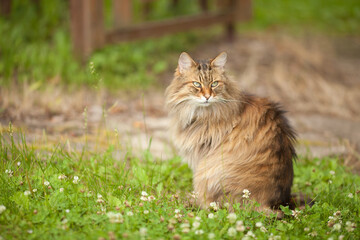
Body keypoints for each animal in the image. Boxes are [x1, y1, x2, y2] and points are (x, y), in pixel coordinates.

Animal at [165, 51, 296, 217]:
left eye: (214, 84)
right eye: (197, 84)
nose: (207, 96)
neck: (201, 114)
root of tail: (267, 204)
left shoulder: (202, 156)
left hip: (207, 172)